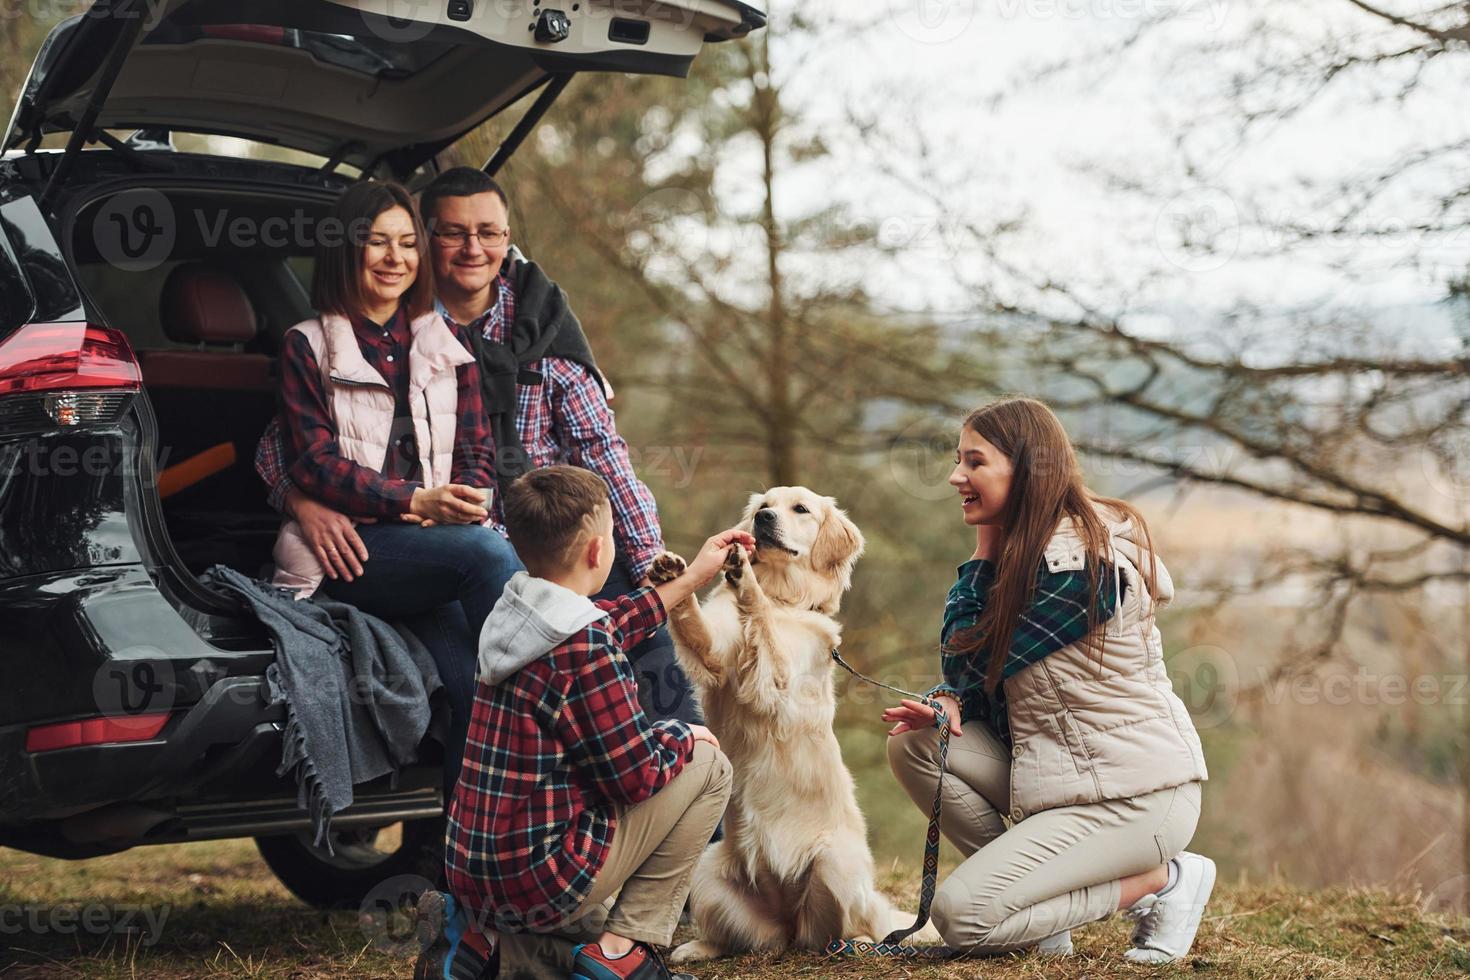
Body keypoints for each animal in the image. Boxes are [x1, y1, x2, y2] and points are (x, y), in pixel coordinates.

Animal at [646, 487, 929, 963]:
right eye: (764, 505)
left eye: (801, 509)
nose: (763, 520)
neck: (784, 598)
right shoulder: (716, 652)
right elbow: (693, 621)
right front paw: (674, 573)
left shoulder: (779, 681)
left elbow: (761, 622)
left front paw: (744, 576)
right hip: (706, 870)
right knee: (761, 938)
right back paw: (699, 947)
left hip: (836, 864)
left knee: (839, 929)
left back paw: (856, 944)